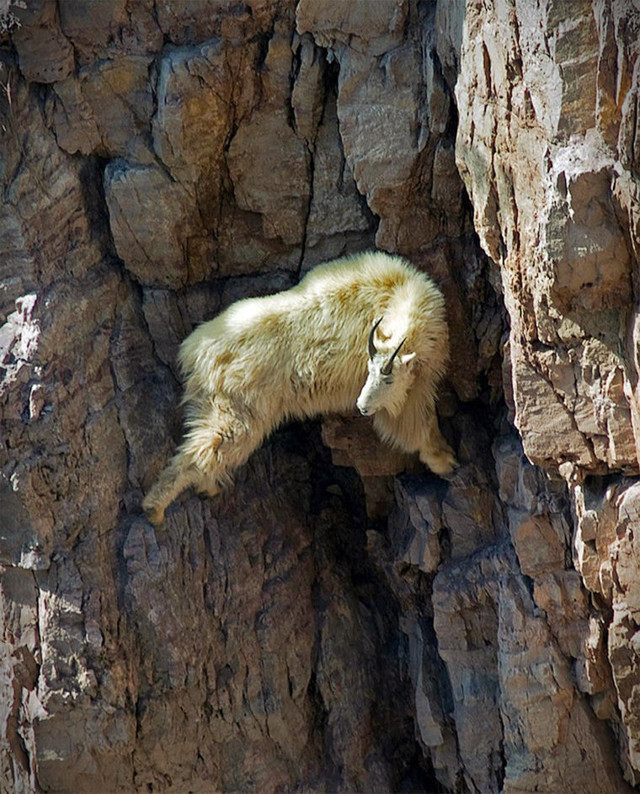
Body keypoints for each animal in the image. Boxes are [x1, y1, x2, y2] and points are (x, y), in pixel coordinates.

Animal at [144, 251, 456, 524]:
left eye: (387, 378)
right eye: (370, 371)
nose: (362, 406)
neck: (398, 295)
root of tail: (195, 350)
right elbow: (411, 419)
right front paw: (446, 460)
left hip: (211, 395)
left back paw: (206, 486)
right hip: (242, 393)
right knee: (222, 437)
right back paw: (155, 507)